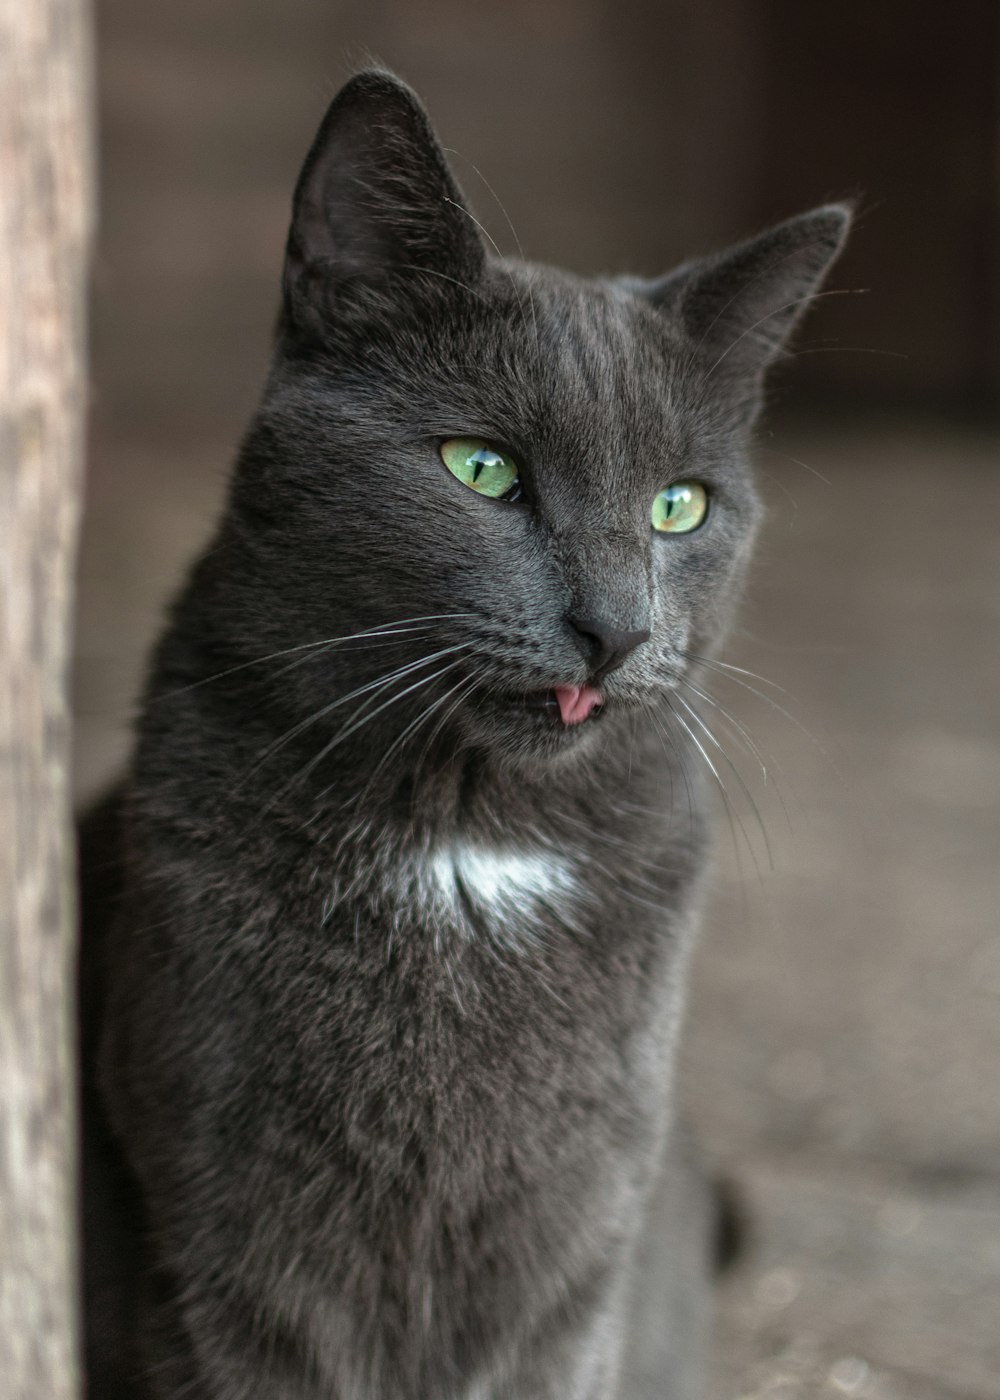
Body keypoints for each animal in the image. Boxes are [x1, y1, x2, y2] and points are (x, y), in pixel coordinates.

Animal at [77, 68, 845, 1400]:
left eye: (677, 505)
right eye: (482, 468)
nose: (614, 626)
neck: (466, 840)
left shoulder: (578, 1243)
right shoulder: (216, 1231)